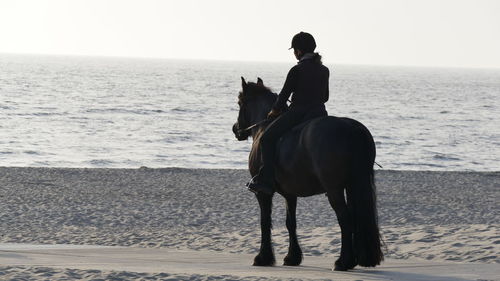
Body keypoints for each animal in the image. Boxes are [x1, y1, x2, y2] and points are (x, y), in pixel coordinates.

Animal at [232, 76, 384, 270]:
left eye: (240, 103)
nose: (235, 129)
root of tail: (351, 128)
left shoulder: (262, 193)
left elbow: (264, 222)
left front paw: (263, 258)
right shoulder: (290, 194)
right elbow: (291, 223)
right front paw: (292, 257)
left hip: (334, 190)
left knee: (345, 219)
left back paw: (343, 261)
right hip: (353, 185)